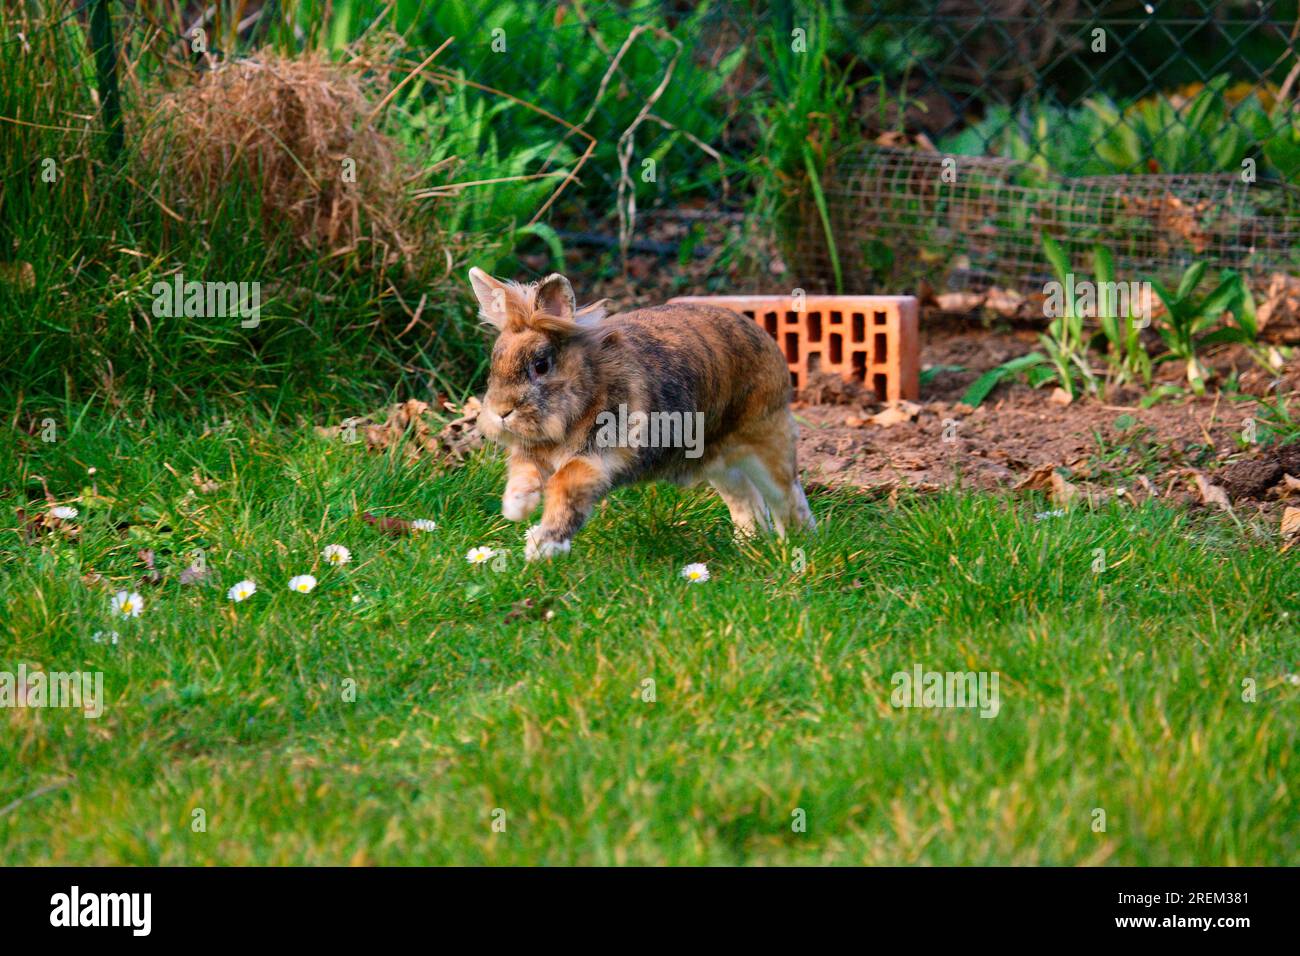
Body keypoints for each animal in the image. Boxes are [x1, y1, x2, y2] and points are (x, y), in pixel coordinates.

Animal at [467, 265, 811, 561]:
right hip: (718, 462)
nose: (500, 412)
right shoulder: (534, 454)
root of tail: (766, 340)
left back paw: (795, 545)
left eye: (541, 365)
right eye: (495, 362)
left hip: (764, 441)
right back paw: (749, 544)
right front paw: (516, 508)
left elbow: (565, 487)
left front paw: (541, 547)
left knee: (787, 496)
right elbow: (523, 473)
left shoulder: (595, 460)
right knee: (746, 499)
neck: (589, 390)